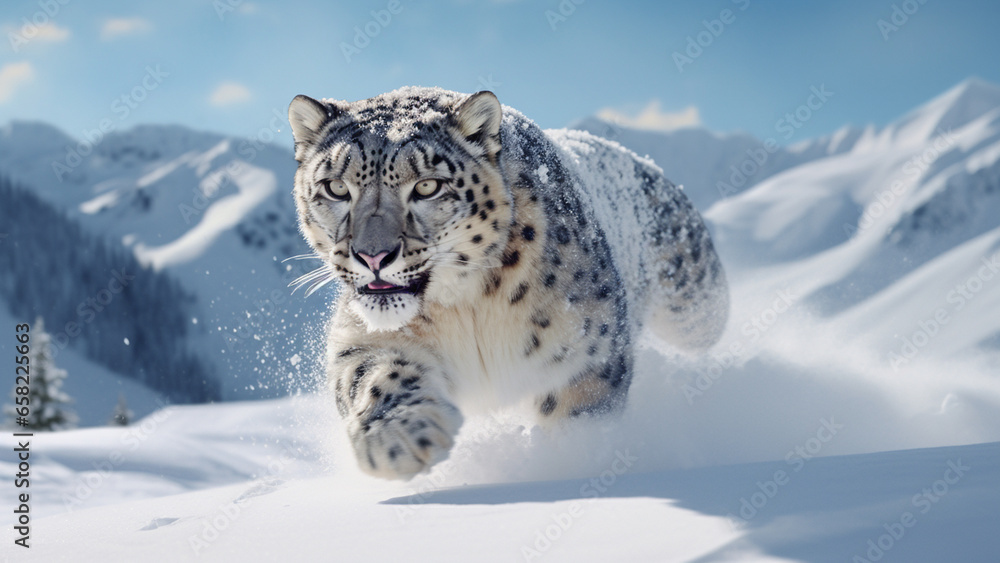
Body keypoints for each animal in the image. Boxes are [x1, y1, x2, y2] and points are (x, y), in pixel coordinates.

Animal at [287, 87, 729, 480]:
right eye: (337, 187)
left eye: (428, 186)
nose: (373, 256)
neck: (466, 306)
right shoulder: (362, 334)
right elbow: (373, 374)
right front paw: (400, 439)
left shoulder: (588, 347)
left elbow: (578, 416)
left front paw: (570, 461)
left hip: (695, 310)